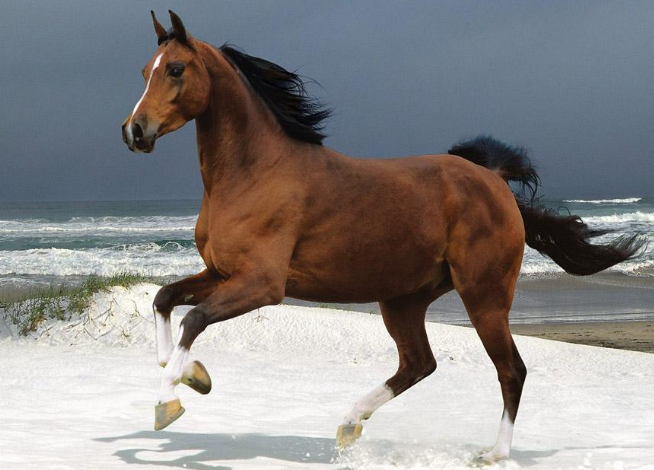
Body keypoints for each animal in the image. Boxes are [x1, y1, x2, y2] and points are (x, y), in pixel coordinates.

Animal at [121, 11, 644, 464]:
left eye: (175, 69)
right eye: (145, 71)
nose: (134, 131)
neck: (253, 172)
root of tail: (493, 180)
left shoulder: (263, 285)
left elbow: (194, 320)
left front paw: (168, 403)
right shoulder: (221, 272)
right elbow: (165, 300)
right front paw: (193, 376)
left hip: (484, 295)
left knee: (510, 370)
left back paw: (493, 454)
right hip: (404, 299)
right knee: (419, 363)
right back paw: (349, 423)